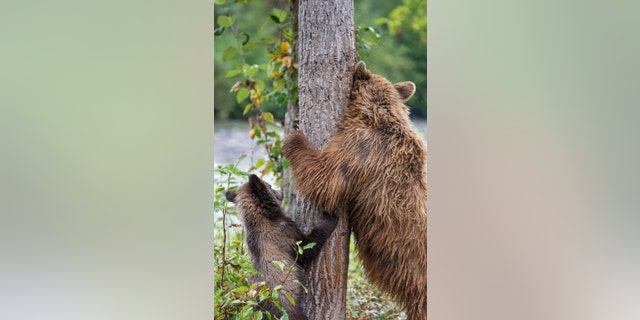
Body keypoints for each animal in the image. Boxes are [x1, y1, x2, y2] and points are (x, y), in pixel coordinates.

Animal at [225, 175, 338, 320]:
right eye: (270, 185)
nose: (281, 192)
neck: (263, 217)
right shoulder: (285, 234)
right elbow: (306, 248)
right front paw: (329, 216)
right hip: (288, 309)